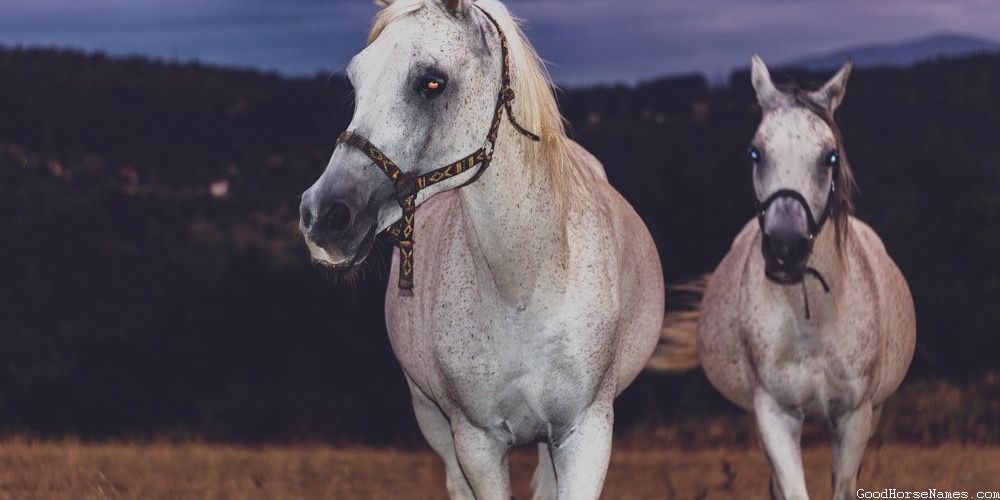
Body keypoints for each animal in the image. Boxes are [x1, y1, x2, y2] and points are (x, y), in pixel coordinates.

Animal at [298, 0, 693, 497]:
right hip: (432, 418)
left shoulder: (586, 434)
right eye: (356, 80)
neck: (524, 288)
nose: (322, 216)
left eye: (432, 82)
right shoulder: (476, 444)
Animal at [696, 55, 916, 500]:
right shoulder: (774, 415)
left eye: (829, 156)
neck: (811, 318)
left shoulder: (854, 418)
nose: (785, 248)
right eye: (755, 152)